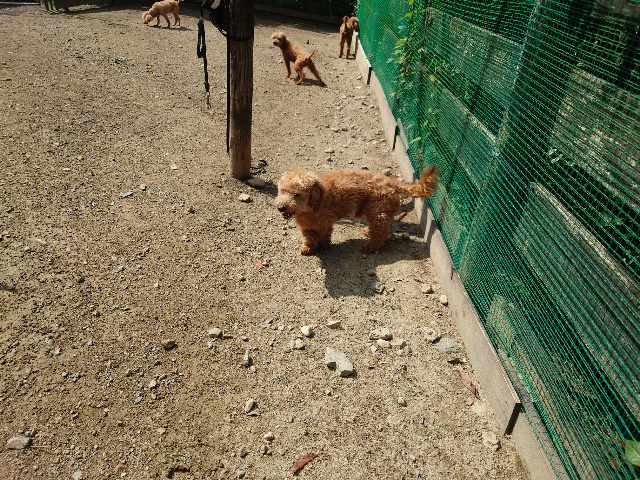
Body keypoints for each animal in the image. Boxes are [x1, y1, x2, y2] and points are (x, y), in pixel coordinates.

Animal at [274, 165, 438, 254]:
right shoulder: (307, 227)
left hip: (376, 211)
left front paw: (323, 246)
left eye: (297, 194)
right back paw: (367, 232)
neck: (313, 206)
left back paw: (368, 248)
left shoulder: (325, 224)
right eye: (282, 191)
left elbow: (323, 236)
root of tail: (392, 182)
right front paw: (307, 248)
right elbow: (309, 238)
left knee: (380, 234)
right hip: (376, 211)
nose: (281, 207)